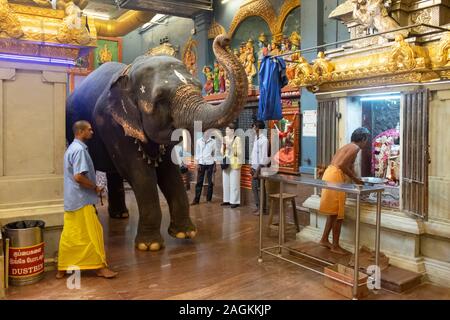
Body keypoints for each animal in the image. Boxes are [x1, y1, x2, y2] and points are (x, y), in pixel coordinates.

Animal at [67, 35, 250, 250]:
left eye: (198, 86)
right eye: (161, 98)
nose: (224, 39)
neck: (128, 71)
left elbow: (169, 170)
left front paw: (185, 233)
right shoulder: (112, 123)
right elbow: (139, 173)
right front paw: (150, 246)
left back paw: (121, 215)